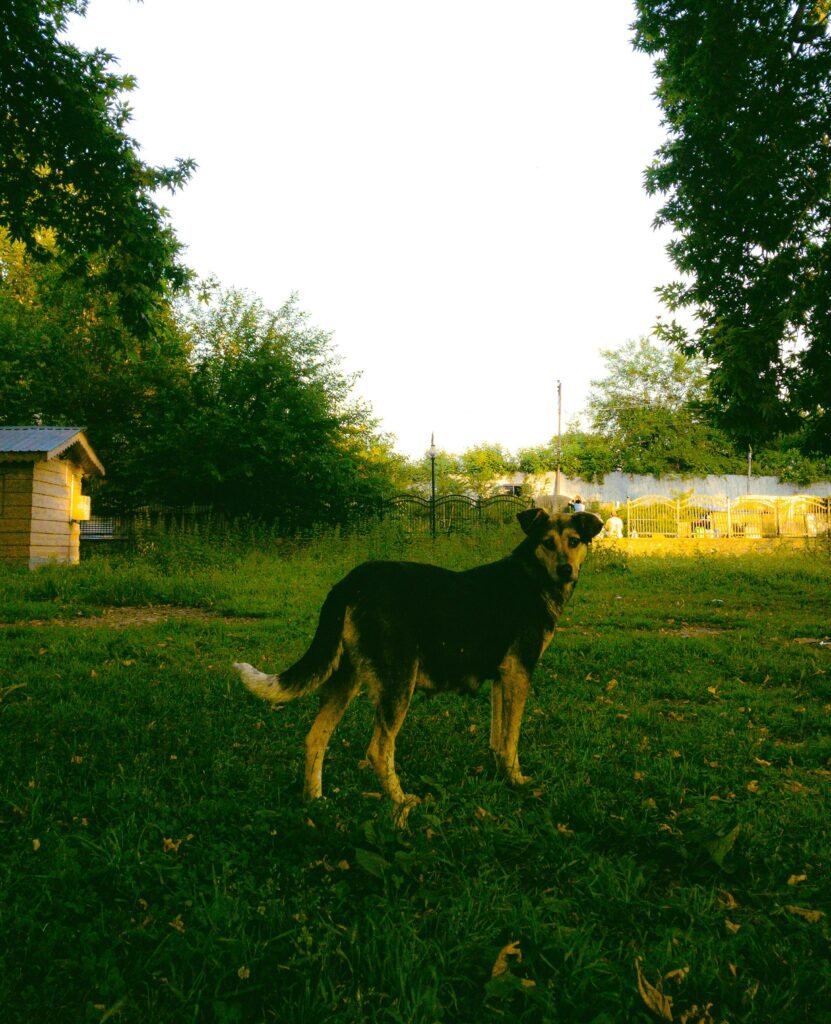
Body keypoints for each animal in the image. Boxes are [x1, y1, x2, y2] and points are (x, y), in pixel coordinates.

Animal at [233, 507, 601, 819]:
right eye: (547, 542)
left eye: (574, 541)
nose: (566, 570)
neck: (532, 575)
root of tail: (350, 583)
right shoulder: (518, 672)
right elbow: (511, 739)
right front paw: (517, 782)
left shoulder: (503, 676)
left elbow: (499, 737)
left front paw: (500, 774)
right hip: (399, 680)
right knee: (378, 750)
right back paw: (402, 803)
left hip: (344, 678)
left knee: (315, 738)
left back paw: (316, 802)